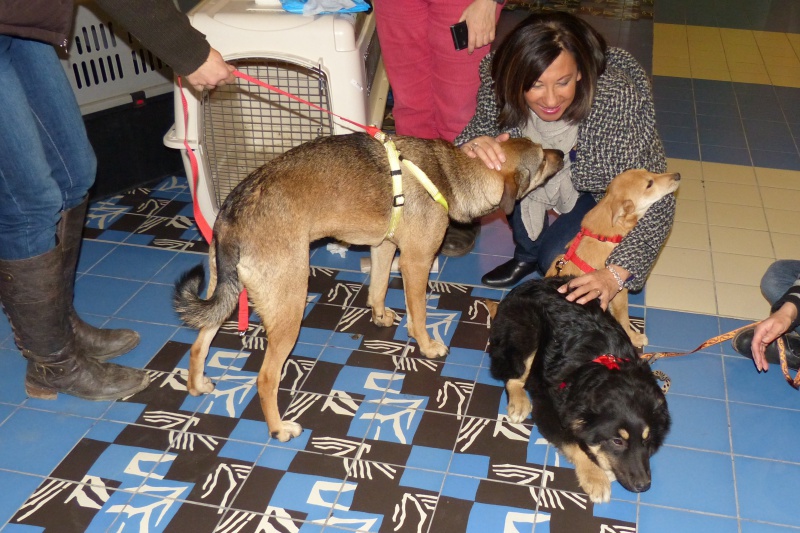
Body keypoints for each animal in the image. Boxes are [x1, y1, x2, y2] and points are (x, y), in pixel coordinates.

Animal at [175, 131, 564, 438]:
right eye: (542, 157)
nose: (562, 153)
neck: (451, 174)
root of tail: (233, 208)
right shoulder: (415, 262)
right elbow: (420, 312)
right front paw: (426, 344)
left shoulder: (384, 247)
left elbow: (377, 288)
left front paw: (380, 315)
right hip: (289, 307)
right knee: (265, 378)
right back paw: (279, 428)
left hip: (226, 293)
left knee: (198, 345)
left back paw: (197, 384)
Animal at [488, 276, 668, 500]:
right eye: (617, 441)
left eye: (647, 438)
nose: (643, 486)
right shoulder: (547, 407)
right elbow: (574, 444)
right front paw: (596, 477)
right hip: (529, 327)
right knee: (513, 376)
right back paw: (519, 403)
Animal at [540, 168, 680, 348]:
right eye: (649, 184)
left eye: (648, 171)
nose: (677, 175)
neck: (604, 235)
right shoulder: (619, 291)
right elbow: (623, 319)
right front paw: (634, 337)